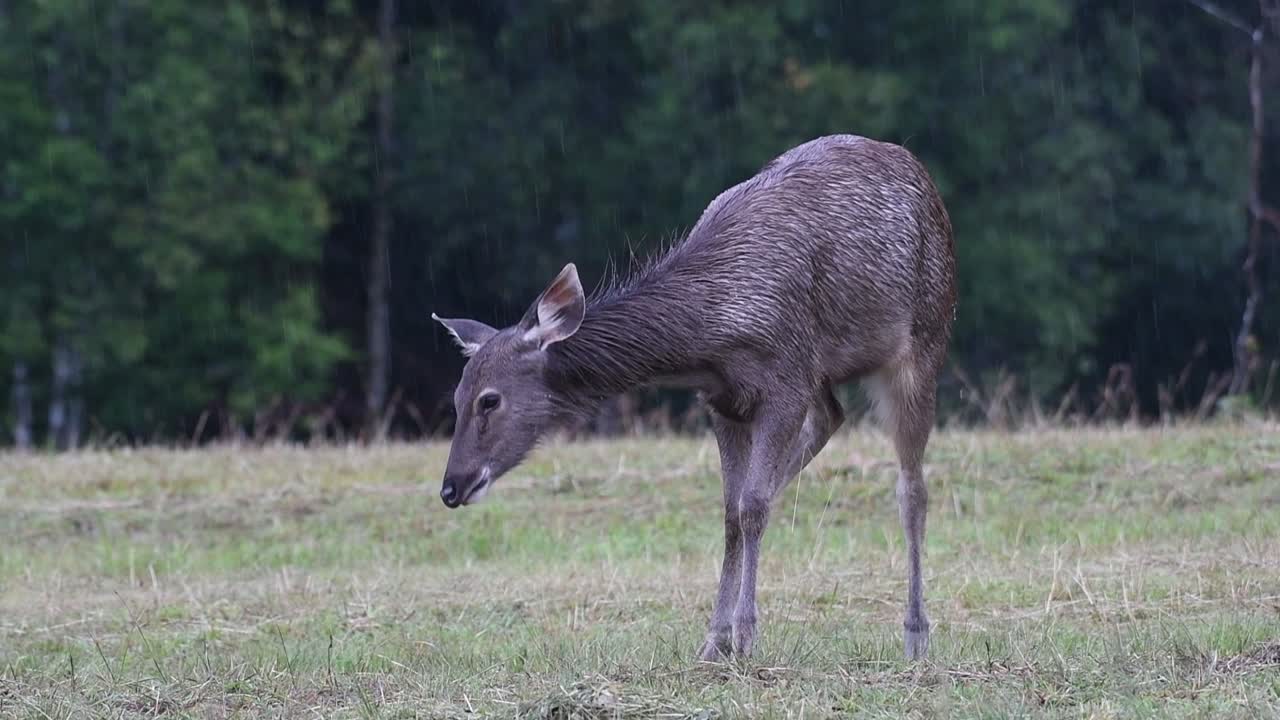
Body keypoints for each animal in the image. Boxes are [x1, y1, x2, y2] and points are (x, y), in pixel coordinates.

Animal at [432, 134, 956, 661]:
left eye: (489, 400)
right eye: (455, 396)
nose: (452, 487)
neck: (713, 336)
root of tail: (923, 175)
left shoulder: (785, 381)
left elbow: (751, 506)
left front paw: (744, 635)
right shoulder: (724, 401)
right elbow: (732, 513)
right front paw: (714, 640)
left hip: (926, 337)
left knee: (911, 489)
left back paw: (916, 633)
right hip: (825, 374)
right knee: (831, 417)